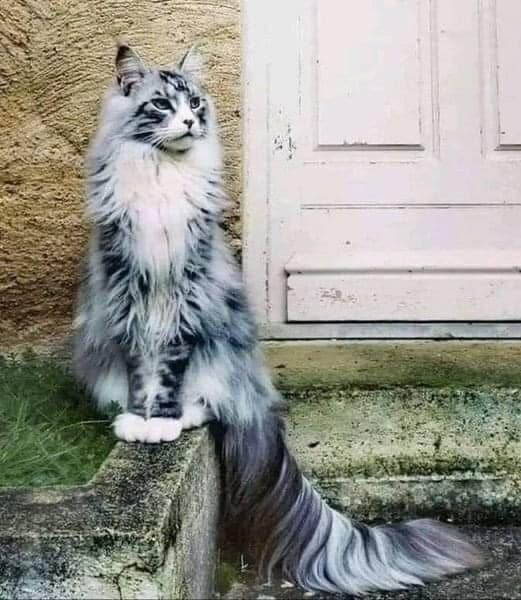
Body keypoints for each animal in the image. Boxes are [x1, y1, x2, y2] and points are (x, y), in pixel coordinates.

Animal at [73, 45, 484, 596]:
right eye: (161, 104)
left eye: (195, 103)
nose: (189, 121)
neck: (162, 174)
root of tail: (258, 396)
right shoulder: (128, 293)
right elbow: (143, 371)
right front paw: (140, 423)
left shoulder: (187, 297)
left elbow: (170, 374)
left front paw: (163, 421)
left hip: (223, 345)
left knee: (212, 398)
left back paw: (190, 414)